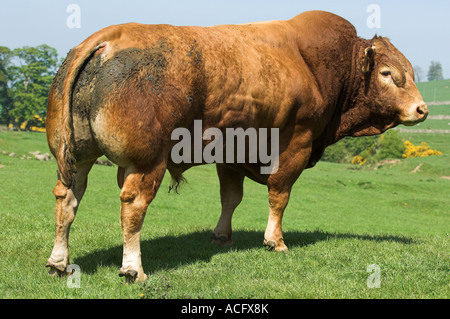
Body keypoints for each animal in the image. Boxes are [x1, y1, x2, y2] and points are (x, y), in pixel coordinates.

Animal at [45, 10, 428, 282]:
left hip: (77, 156)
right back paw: (133, 269)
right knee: (133, 206)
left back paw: (59, 262)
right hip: (146, 161)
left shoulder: (231, 151)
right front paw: (275, 240)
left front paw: (221, 235)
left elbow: (230, 198)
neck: (318, 66)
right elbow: (279, 195)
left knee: (67, 198)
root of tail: (107, 37)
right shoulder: (297, 143)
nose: (422, 109)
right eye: (388, 74)